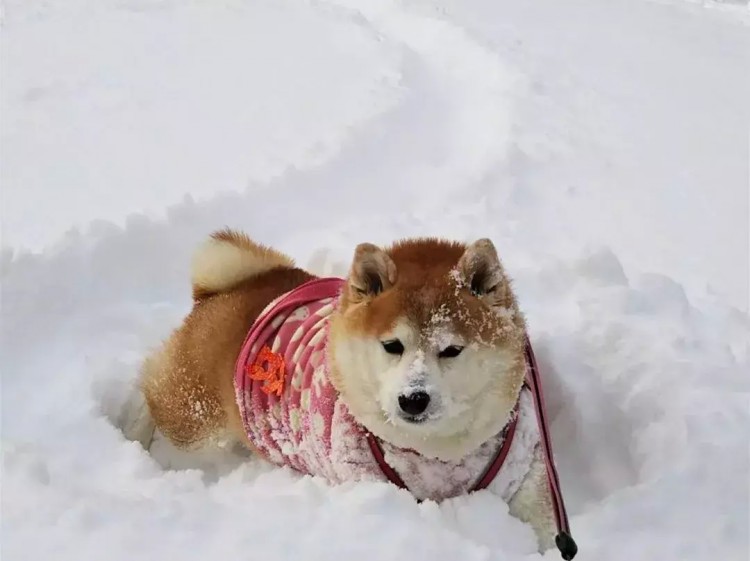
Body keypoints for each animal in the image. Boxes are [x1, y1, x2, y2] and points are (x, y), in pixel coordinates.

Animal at [132, 228, 572, 552]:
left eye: (451, 350)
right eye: (392, 345)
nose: (414, 399)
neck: (436, 454)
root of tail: (235, 287)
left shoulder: (529, 476)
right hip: (193, 417)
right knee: (151, 389)